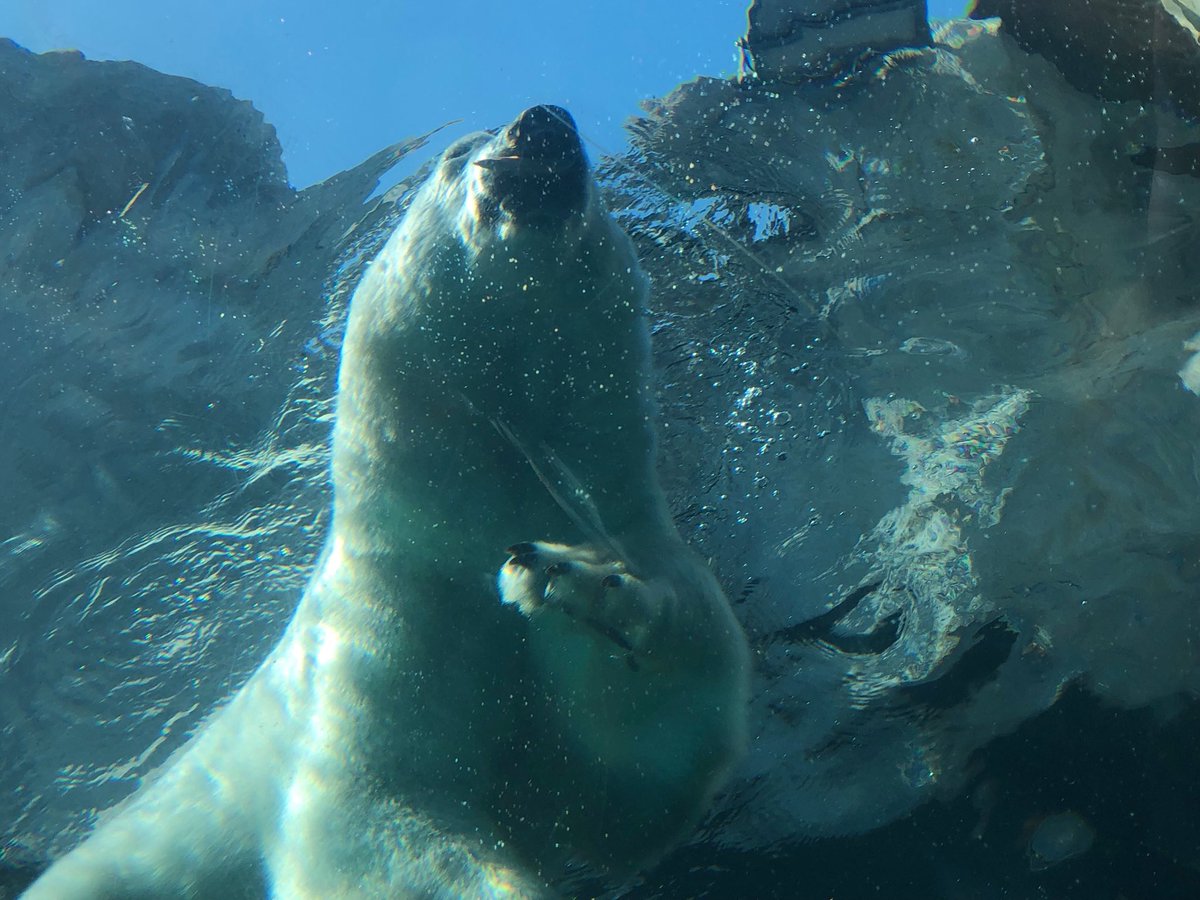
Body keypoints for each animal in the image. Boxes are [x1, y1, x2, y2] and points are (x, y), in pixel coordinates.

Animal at [25, 105, 750, 899]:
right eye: (457, 154)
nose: (545, 120)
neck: (458, 526)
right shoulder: (373, 639)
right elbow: (365, 826)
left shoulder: (628, 532)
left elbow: (651, 765)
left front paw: (574, 578)